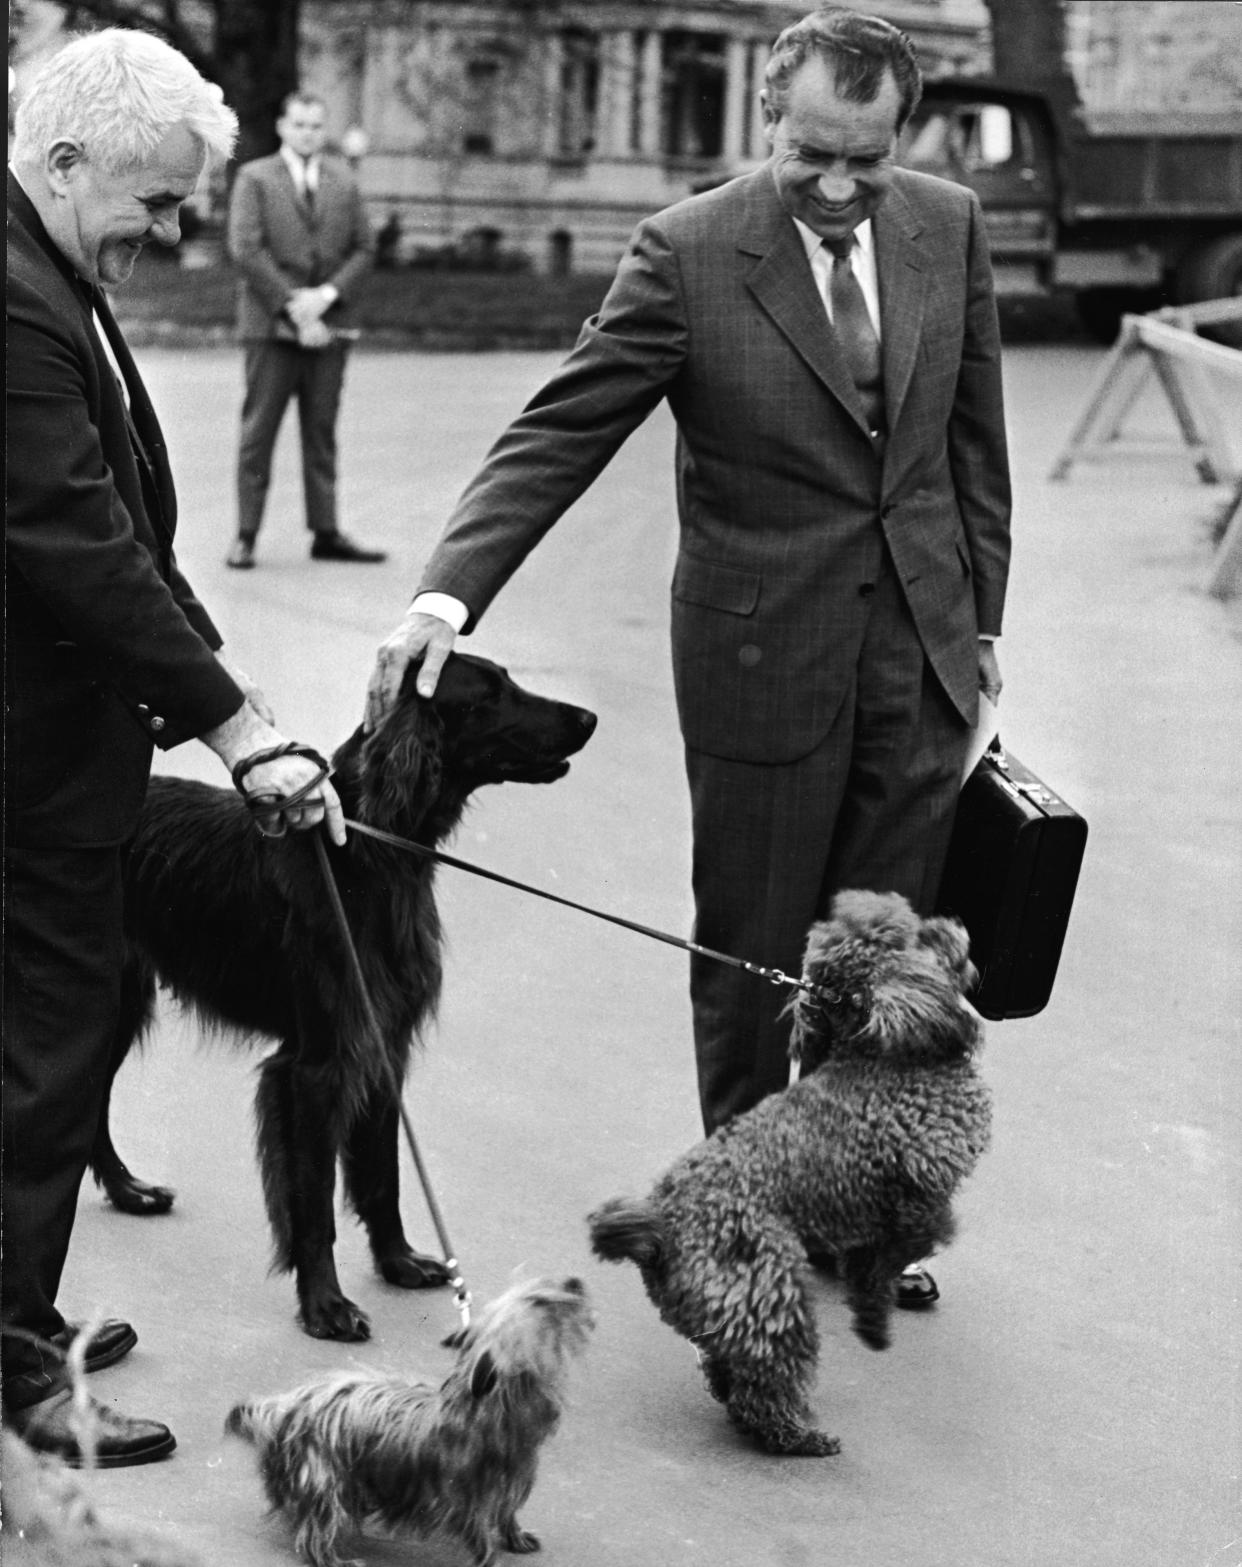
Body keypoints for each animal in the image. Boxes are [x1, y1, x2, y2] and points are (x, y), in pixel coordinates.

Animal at [89, 648, 592, 1335]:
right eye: (489, 693)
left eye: (508, 680)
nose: (589, 718)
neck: (363, 855)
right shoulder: (315, 1067)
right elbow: (315, 1202)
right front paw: (325, 1304)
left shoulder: (382, 1046)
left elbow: (384, 1175)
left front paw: (400, 1262)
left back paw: (128, 1191)